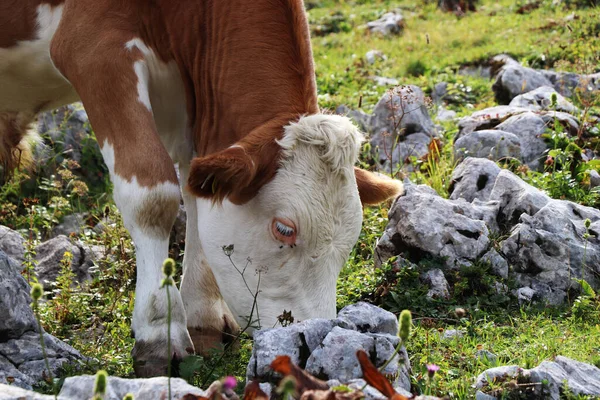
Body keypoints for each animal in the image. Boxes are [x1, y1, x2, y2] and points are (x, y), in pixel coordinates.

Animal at [1, 0, 404, 376]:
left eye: (351, 240)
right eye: (284, 229)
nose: (312, 337)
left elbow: (196, 193)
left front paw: (203, 319)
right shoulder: (94, 51)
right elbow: (153, 196)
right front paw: (160, 332)